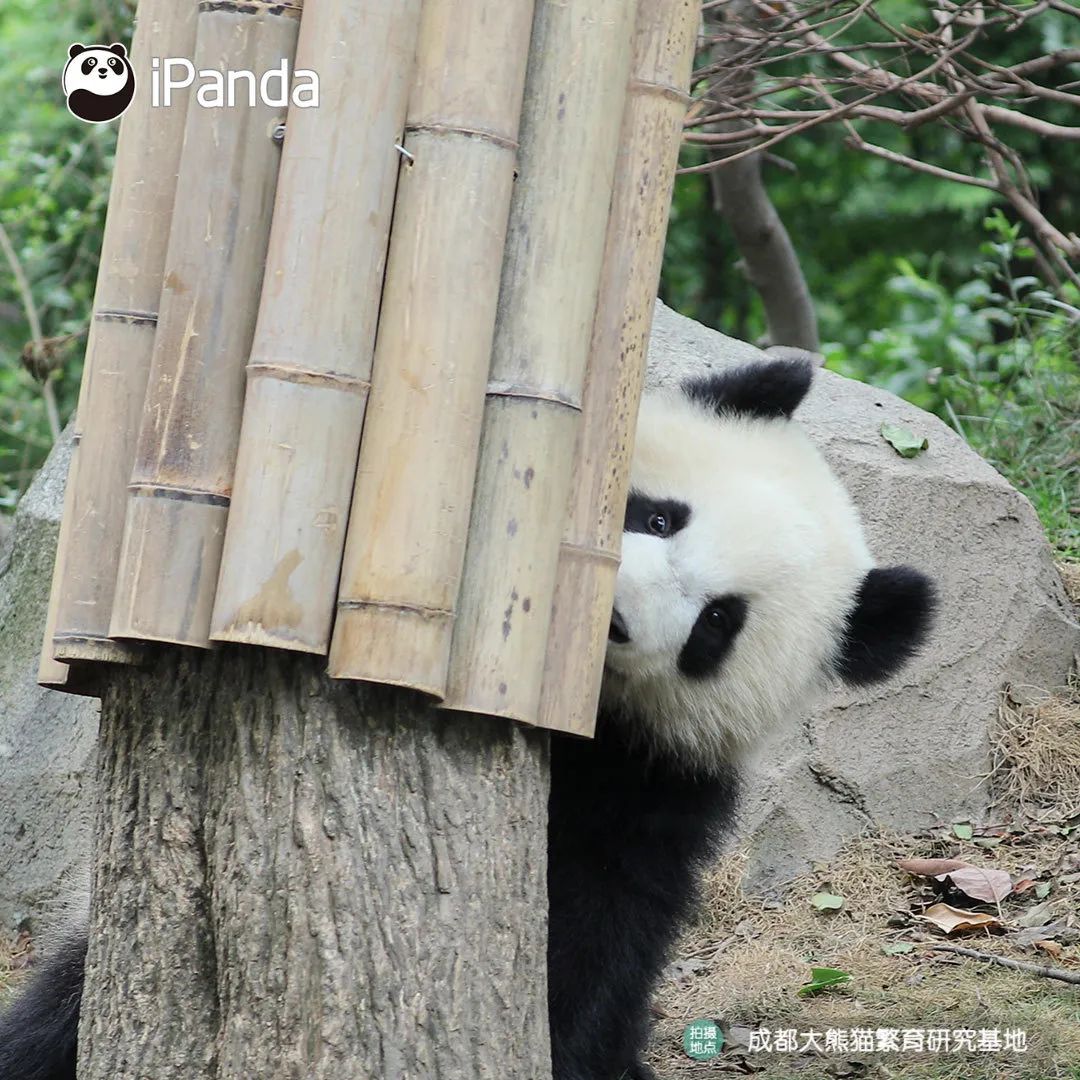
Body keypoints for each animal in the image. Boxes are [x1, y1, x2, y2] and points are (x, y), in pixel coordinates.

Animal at [0, 358, 933, 1075]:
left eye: (717, 624)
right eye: (661, 515)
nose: (612, 616)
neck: (590, 709)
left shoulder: (656, 780)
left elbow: (597, 922)